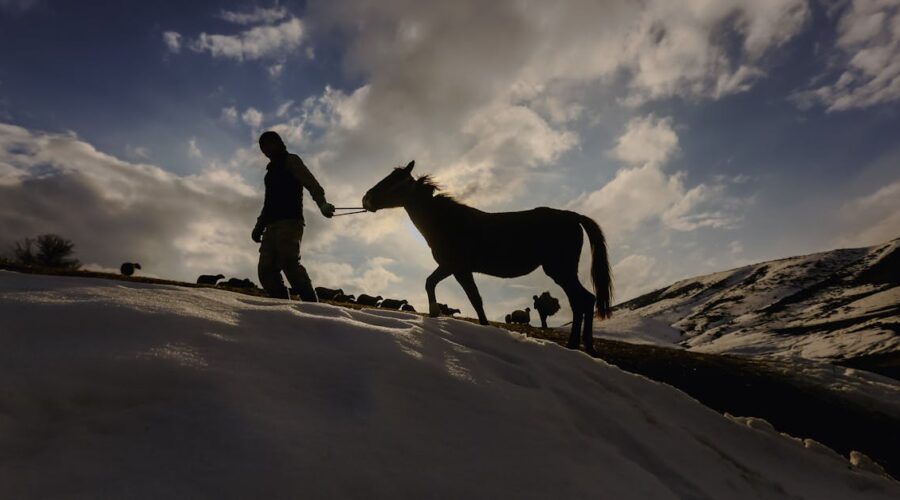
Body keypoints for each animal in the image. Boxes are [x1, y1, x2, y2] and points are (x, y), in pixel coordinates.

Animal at [362, 161, 613, 354]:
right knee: (583, 301)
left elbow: (466, 296)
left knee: (583, 300)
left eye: (395, 181)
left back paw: (578, 346)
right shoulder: (455, 269)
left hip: (560, 270)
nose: (366, 199)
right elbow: (458, 293)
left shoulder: (455, 267)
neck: (448, 222)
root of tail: (573, 216)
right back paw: (582, 346)